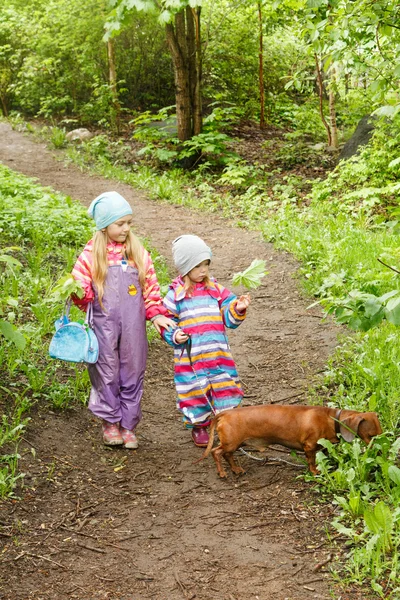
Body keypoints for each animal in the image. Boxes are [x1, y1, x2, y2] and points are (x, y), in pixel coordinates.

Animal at [200, 404, 382, 478]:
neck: (332, 419)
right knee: (216, 452)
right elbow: (311, 461)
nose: (380, 453)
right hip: (231, 443)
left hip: (236, 444)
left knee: (227, 455)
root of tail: (224, 413)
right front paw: (315, 471)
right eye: (371, 436)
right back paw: (222, 472)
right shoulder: (309, 446)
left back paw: (236, 469)